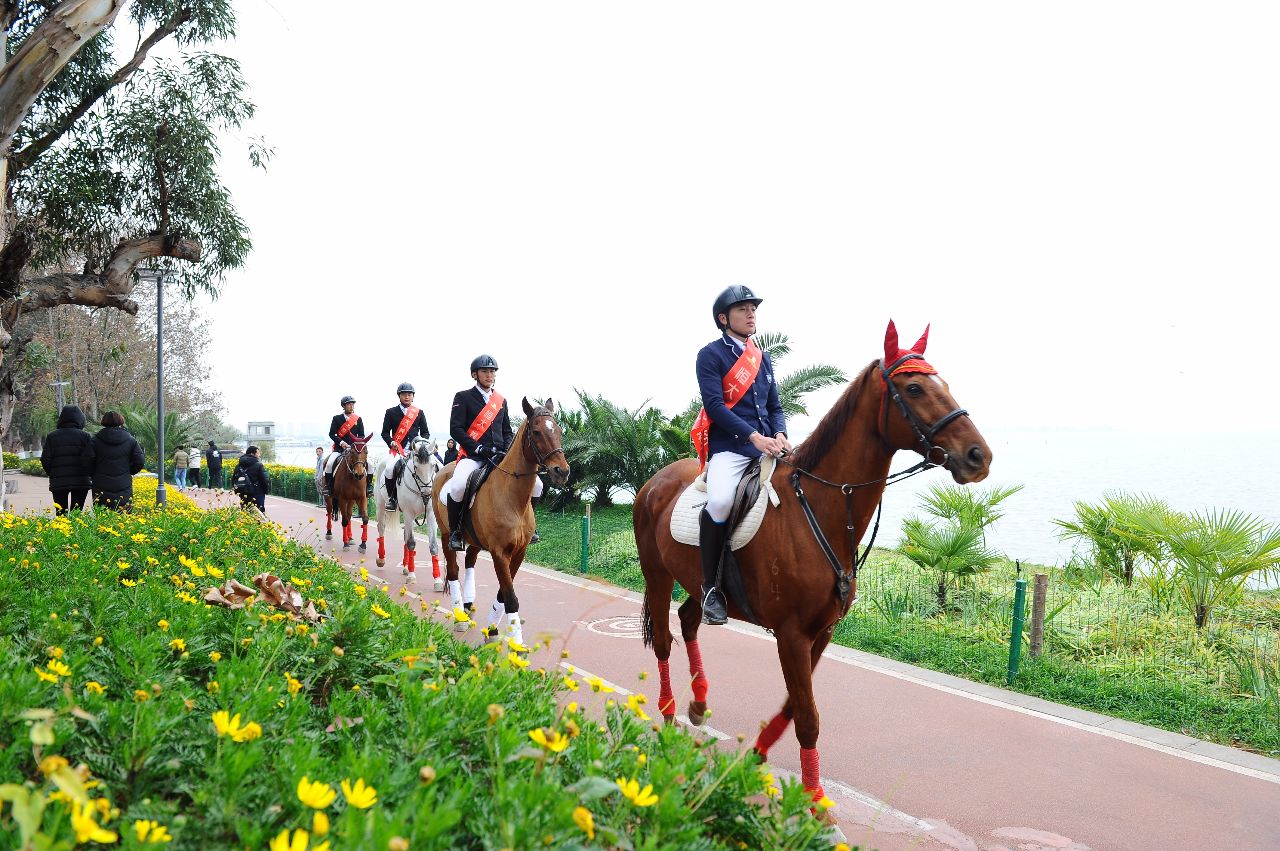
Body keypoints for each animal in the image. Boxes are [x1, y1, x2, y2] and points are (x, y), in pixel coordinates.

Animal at [374, 436, 444, 590]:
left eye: (433, 465)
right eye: (416, 467)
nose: (427, 493)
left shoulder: (430, 515)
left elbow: (433, 546)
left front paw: (437, 580)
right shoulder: (408, 513)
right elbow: (411, 543)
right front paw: (412, 576)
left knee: (405, 535)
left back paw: (406, 566)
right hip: (381, 506)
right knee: (381, 529)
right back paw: (381, 559)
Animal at [432, 398, 570, 647]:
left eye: (558, 431)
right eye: (536, 432)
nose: (561, 471)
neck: (513, 498)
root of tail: (444, 469)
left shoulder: (519, 552)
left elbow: (504, 593)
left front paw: (492, 629)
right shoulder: (499, 553)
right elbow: (511, 597)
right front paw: (517, 644)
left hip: (475, 539)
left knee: (470, 561)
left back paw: (468, 604)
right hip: (447, 535)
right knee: (455, 570)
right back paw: (459, 616)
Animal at [633, 320, 992, 809]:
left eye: (946, 384)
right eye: (915, 388)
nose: (978, 456)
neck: (820, 508)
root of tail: (656, 480)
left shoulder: (820, 632)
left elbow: (795, 706)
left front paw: (758, 755)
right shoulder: (791, 634)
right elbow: (807, 715)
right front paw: (815, 800)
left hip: (698, 582)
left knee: (690, 619)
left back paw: (698, 704)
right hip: (657, 576)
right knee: (666, 641)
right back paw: (669, 716)